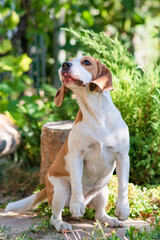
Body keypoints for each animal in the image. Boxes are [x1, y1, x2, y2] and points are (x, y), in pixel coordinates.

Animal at [5, 56, 130, 232]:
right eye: (69, 60)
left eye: (86, 62)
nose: (65, 64)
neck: (97, 116)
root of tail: (47, 187)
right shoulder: (77, 156)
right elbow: (77, 183)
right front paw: (76, 205)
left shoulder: (122, 157)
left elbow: (123, 186)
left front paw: (122, 209)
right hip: (61, 190)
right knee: (54, 217)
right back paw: (62, 223)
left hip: (103, 191)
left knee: (98, 215)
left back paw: (110, 219)